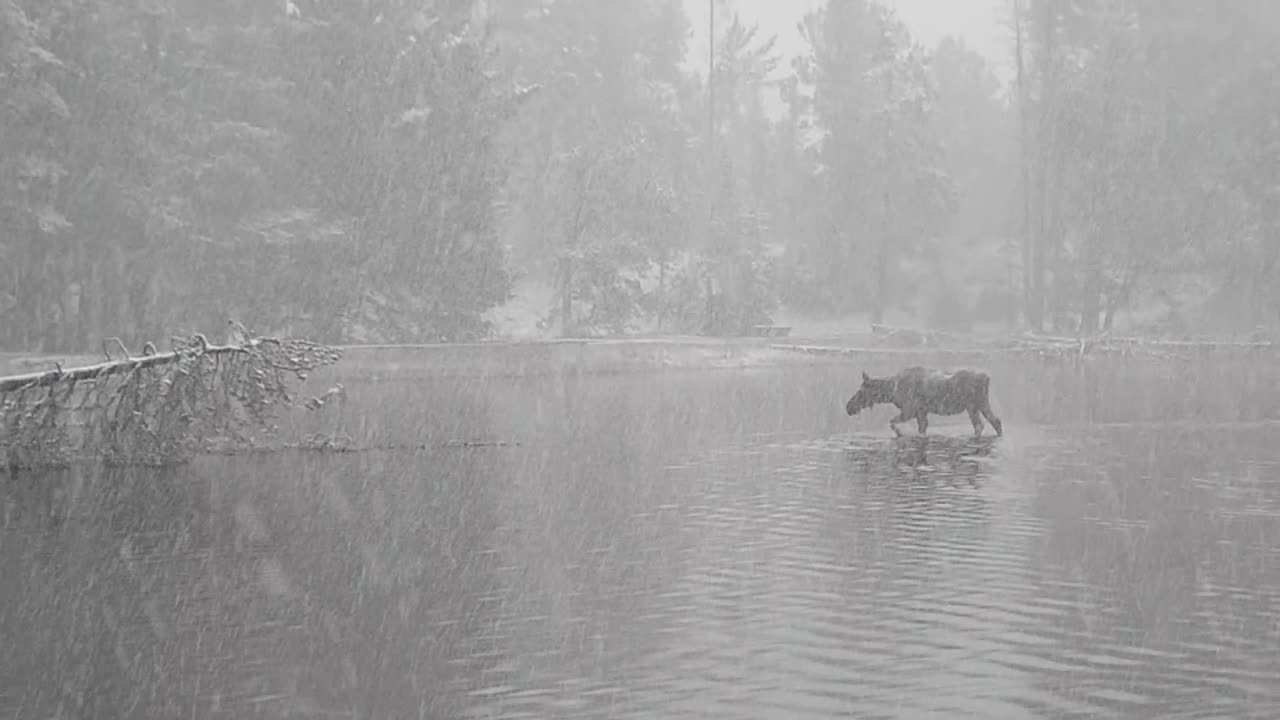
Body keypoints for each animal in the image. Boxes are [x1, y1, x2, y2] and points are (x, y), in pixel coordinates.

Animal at [849, 363, 998, 438]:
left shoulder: (909, 411)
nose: (848, 407)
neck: (891, 391)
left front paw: (900, 433)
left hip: (972, 406)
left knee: (980, 426)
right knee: (995, 421)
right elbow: (922, 429)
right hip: (981, 405)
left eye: (861, 391)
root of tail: (987, 377)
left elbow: (891, 422)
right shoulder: (921, 412)